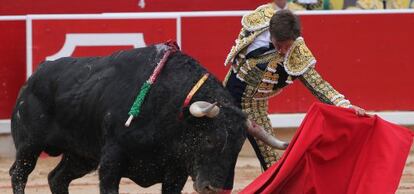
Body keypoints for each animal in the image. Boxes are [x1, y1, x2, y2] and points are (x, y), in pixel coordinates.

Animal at [9, 43, 288, 193]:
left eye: (239, 146)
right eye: (210, 140)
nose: (215, 188)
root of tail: (36, 74)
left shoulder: (175, 173)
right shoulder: (111, 162)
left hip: (81, 155)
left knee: (57, 178)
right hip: (29, 146)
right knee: (18, 173)